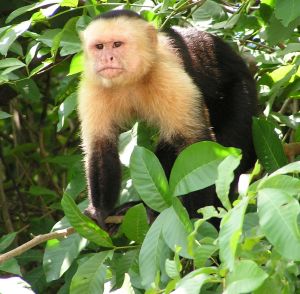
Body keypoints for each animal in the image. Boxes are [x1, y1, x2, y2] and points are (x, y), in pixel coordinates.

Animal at [77, 9, 255, 227]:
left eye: (117, 44)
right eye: (99, 47)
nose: (106, 58)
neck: (131, 80)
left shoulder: (168, 77)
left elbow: (195, 145)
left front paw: (196, 220)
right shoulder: (94, 86)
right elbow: (100, 145)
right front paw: (100, 211)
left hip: (241, 94)